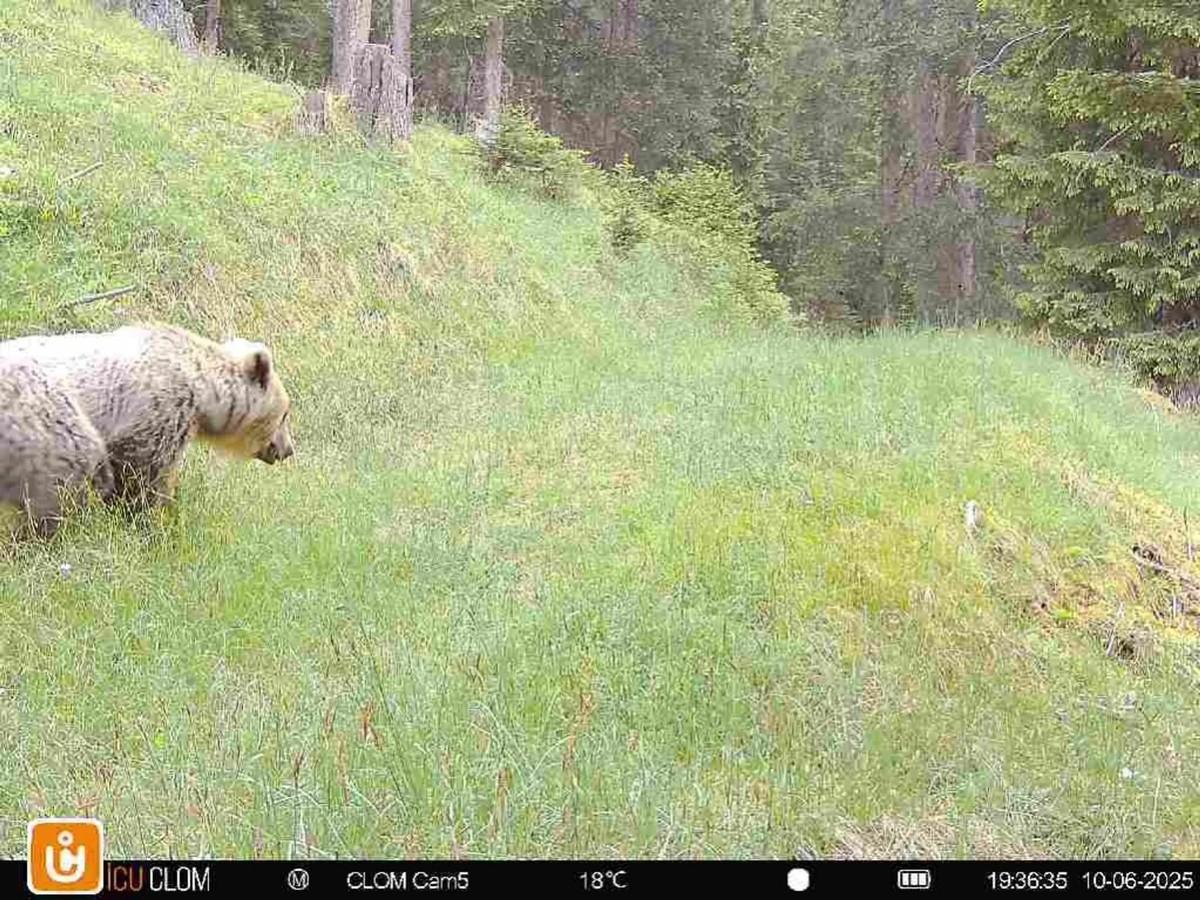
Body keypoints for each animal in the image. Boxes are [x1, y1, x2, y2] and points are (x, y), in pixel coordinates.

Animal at [0, 322, 294, 538]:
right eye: (284, 414)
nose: (288, 449)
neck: (204, 394)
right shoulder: (159, 411)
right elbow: (142, 478)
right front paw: (150, 522)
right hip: (42, 422)